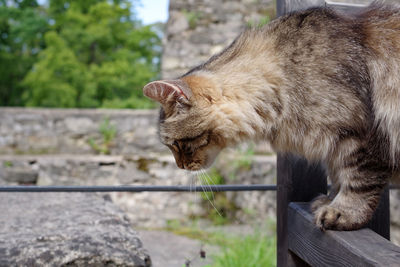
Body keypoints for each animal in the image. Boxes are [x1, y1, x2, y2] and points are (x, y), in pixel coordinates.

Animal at [144, 2, 400, 231]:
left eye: (177, 145)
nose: (180, 166)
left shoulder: (361, 133)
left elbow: (358, 182)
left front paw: (342, 212)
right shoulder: (337, 146)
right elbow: (337, 176)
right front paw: (328, 200)